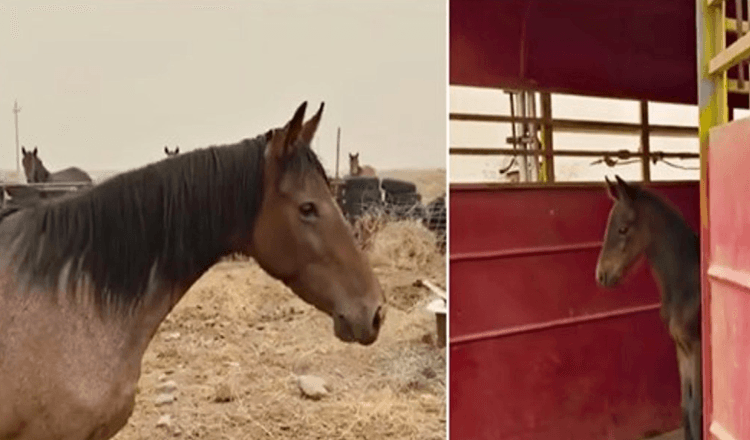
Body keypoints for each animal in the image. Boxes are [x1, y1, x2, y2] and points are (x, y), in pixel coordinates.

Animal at [596, 175, 704, 440]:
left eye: (623, 229)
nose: (601, 275)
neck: (685, 282)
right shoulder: (681, 346)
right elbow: (685, 404)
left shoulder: (696, 344)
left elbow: (696, 406)